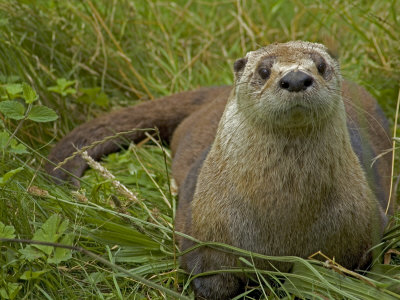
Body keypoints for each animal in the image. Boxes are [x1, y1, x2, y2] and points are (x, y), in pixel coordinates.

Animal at [46, 41, 390, 298]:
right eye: (264, 70)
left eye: (320, 65)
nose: (295, 78)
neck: (283, 221)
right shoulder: (206, 231)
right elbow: (209, 278)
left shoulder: (362, 230)